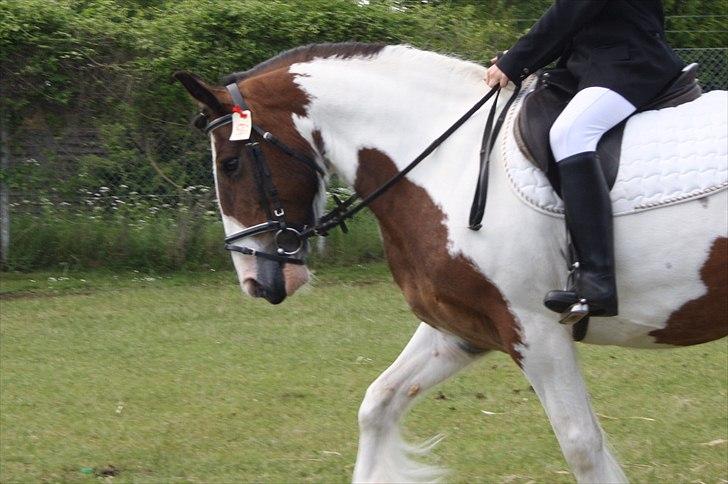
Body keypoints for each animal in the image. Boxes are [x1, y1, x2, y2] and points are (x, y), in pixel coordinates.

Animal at [178, 42, 728, 484]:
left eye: (230, 164)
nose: (256, 281)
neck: (451, 163)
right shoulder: (462, 328)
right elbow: (377, 405)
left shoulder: (535, 331)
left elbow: (582, 446)